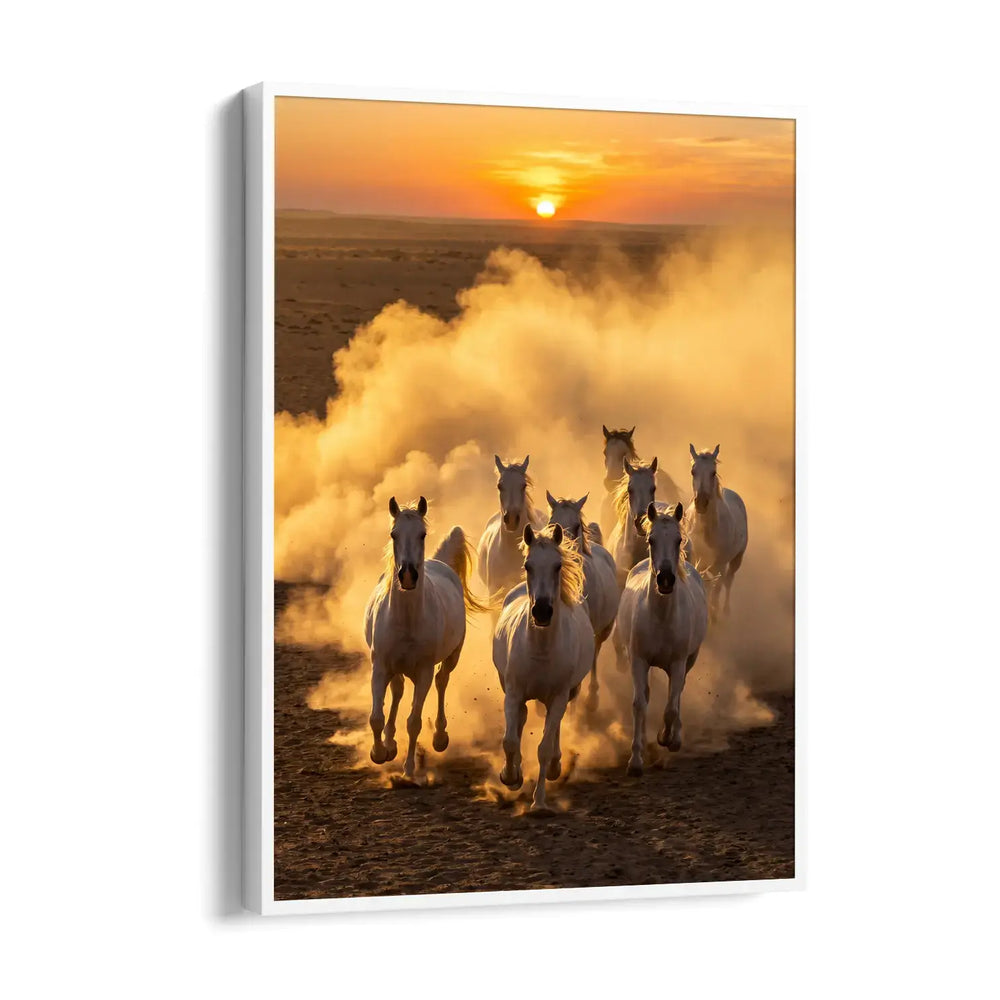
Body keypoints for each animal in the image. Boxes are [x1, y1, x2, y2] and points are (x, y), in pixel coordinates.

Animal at [364, 496, 486, 780]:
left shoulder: (423, 673)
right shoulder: (380, 667)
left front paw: (409, 770)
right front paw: (379, 752)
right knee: (397, 692)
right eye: (393, 534)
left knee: (442, 681)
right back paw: (390, 743)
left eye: (422, 534)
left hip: (452, 657)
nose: (408, 575)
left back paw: (440, 736)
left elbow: (414, 722)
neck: (407, 619)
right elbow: (376, 716)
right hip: (395, 669)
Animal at [492, 524, 593, 813]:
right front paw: (510, 776)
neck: (540, 649)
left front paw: (539, 802)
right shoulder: (513, 692)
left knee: (553, 726)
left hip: (567, 693)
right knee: (522, 718)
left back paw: (557, 766)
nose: (542, 611)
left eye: (558, 566)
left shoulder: (559, 695)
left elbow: (544, 748)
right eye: (528, 565)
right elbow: (510, 740)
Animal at [613, 502, 708, 776]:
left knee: (677, 694)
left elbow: (671, 708)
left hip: (689, 660)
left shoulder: (677, 663)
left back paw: (674, 737)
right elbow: (639, 704)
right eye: (651, 540)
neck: (662, 617)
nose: (665, 579)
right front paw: (636, 760)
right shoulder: (638, 660)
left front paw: (667, 738)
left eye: (678, 540)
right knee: (647, 696)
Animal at [686, 444, 748, 617]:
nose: (701, 503)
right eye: (693, 471)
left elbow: (716, 590)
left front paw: (714, 615)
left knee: (727, 582)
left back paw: (725, 611)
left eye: (713, 472)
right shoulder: (696, 560)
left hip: (735, 560)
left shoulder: (720, 564)